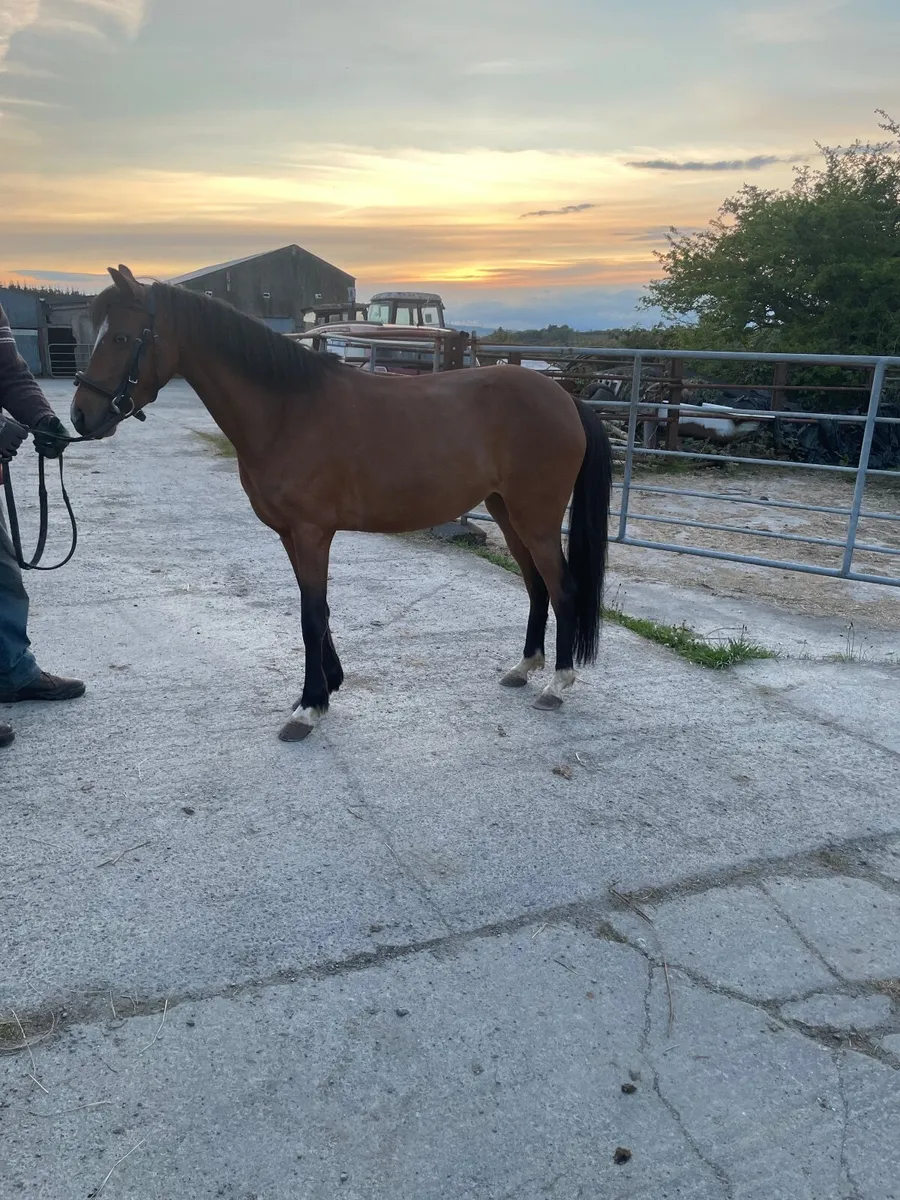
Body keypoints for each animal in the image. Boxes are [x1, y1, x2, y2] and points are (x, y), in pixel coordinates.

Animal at [72, 265, 613, 742]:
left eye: (121, 338)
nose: (81, 417)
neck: (287, 411)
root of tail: (565, 397)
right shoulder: (290, 535)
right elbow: (318, 610)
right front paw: (326, 687)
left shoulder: (312, 532)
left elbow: (312, 616)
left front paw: (309, 708)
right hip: (506, 511)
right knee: (536, 585)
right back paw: (524, 667)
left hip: (535, 517)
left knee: (562, 587)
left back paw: (556, 685)